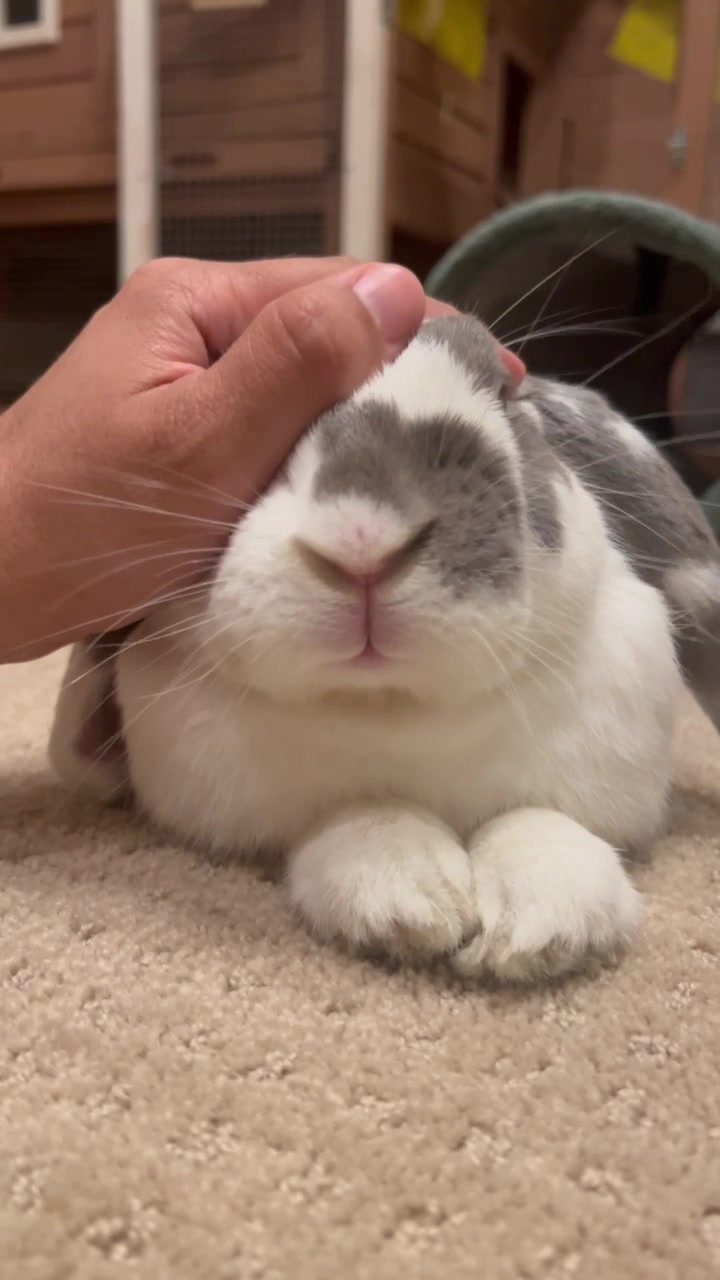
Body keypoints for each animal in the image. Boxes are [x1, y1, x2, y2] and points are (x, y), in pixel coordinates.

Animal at [49, 312, 720, 983]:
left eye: (506, 396)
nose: (363, 541)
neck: (392, 711)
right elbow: (360, 811)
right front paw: (411, 906)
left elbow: (542, 819)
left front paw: (543, 928)